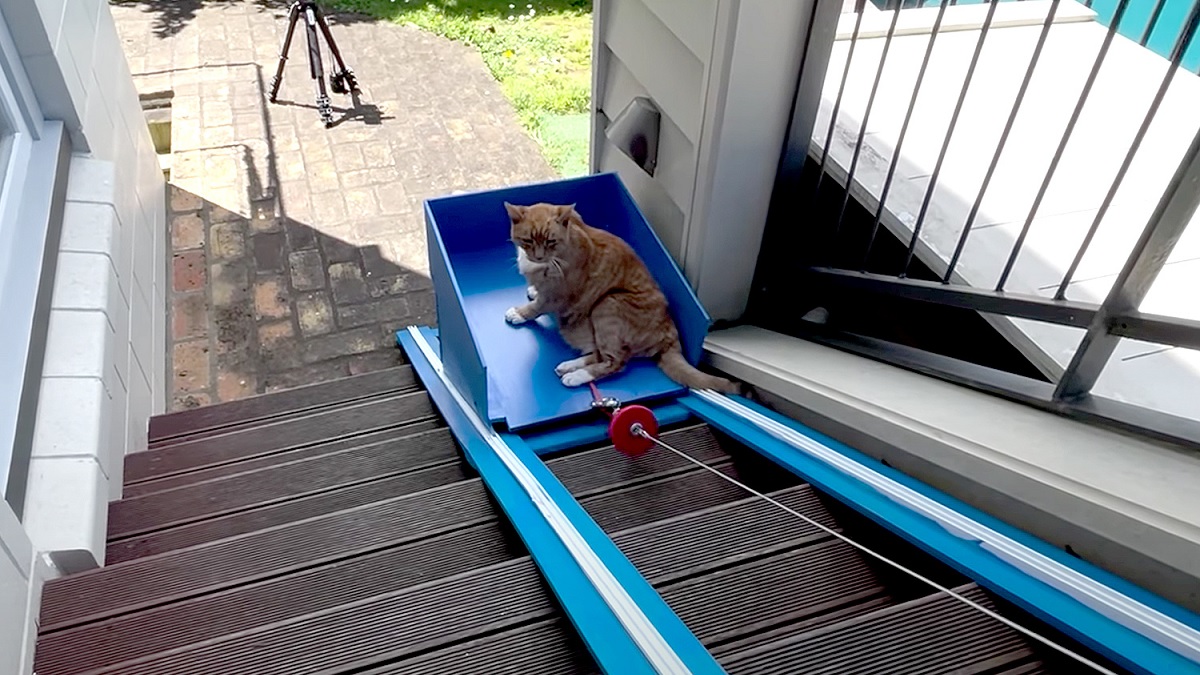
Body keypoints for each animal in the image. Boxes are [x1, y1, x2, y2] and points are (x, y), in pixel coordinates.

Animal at [499, 199, 739, 391]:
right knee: (601, 353)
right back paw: (569, 366)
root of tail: (670, 330)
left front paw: (520, 313)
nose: (539, 257)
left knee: (616, 362)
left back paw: (576, 376)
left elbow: (537, 307)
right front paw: (533, 289)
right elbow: (538, 292)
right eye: (528, 241)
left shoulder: (557, 295)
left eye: (551, 241)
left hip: (607, 304)